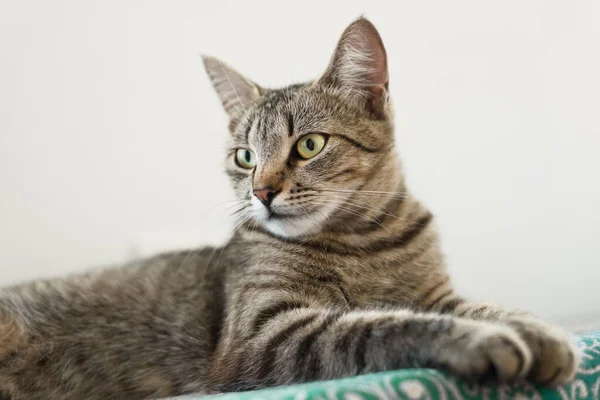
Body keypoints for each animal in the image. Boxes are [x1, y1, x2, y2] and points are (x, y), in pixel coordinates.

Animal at [1, 16, 580, 400]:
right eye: (245, 156)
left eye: (309, 145)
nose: (261, 191)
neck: (364, 240)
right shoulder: (264, 335)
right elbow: (382, 327)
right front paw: (482, 341)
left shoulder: (435, 294)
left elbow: (488, 306)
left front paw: (543, 334)